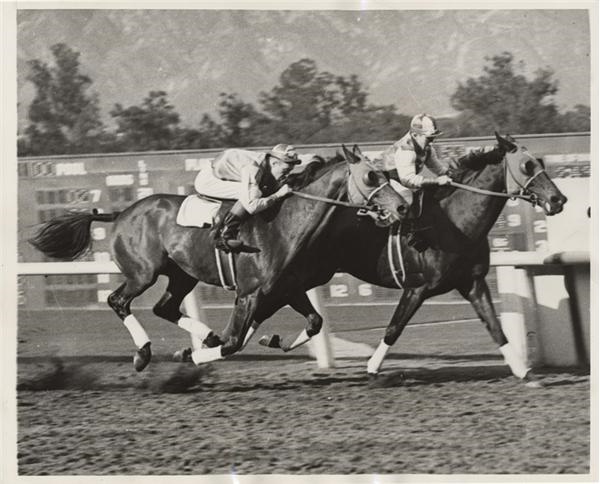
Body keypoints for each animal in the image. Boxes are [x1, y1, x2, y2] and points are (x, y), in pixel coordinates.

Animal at [30, 144, 410, 370]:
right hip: (143, 272)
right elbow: (233, 342)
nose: (403, 206)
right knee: (118, 301)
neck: (283, 225)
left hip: (182, 274)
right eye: (371, 175)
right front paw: (192, 355)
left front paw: (271, 340)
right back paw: (144, 352)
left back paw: (202, 336)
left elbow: (314, 322)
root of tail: (122, 211)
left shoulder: (285, 288)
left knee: (164, 308)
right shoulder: (250, 293)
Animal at [258, 133, 568, 386]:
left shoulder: (473, 282)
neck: (454, 223)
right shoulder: (417, 288)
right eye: (527, 166)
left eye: (539, 162)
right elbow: (394, 328)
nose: (559, 199)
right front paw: (372, 369)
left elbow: (495, 326)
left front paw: (524, 372)